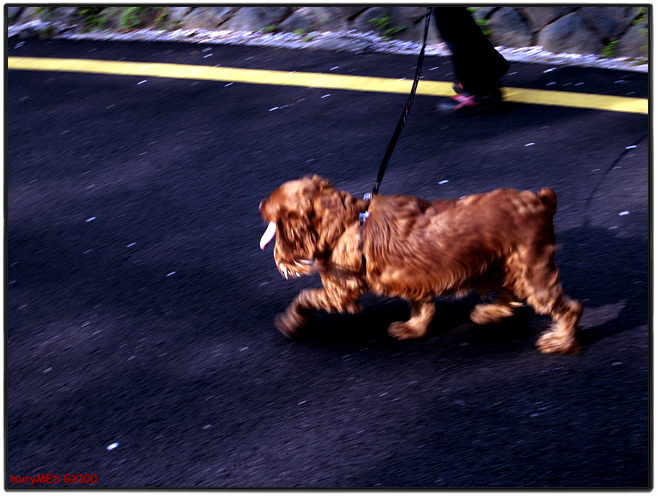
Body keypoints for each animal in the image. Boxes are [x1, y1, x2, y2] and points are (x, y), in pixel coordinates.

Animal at [258, 174, 580, 352]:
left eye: (271, 202)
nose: (259, 203)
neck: (345, 219)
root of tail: (540, 200)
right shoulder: (413, 279)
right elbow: (423, 309)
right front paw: (413, 328)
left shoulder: (341, 292)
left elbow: (304, 297)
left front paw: (291, 321)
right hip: (505, 267)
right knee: (511, 295)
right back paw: (489, 312)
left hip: (532, 273)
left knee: (570, 308)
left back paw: (559, 342)